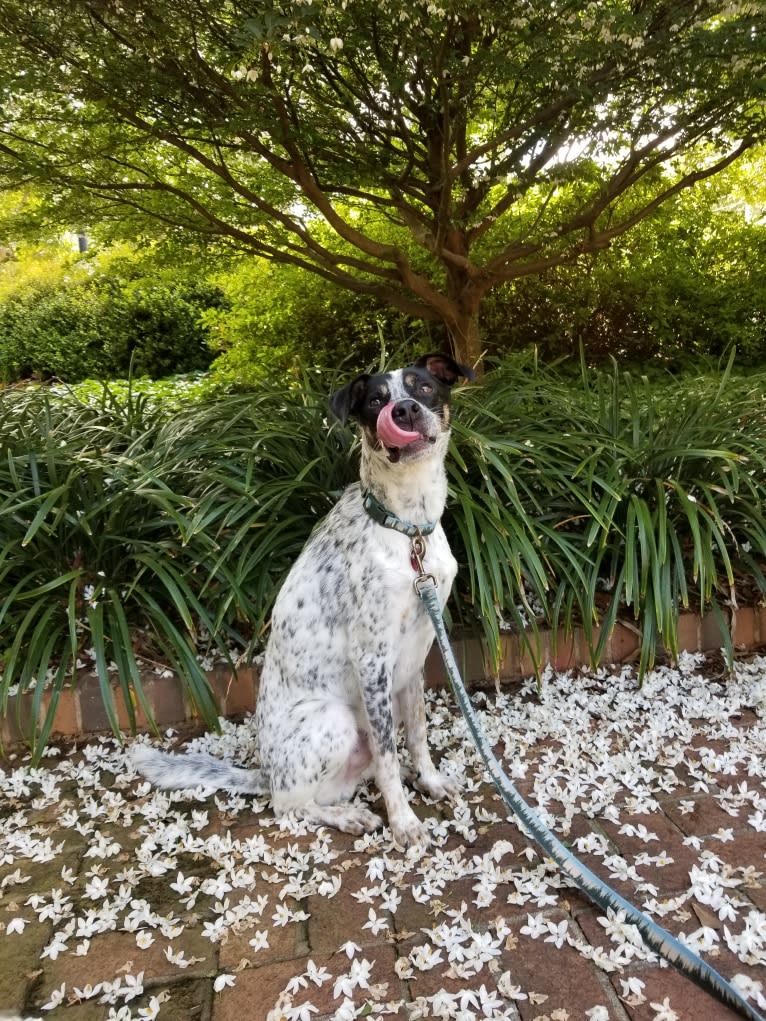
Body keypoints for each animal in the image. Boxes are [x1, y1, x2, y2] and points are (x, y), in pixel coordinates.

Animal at [134, 355, 477, 849]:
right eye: (375, 400)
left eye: (424, 387)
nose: (405, 410)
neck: (407, 528)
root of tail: (266, 774)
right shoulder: (372, 658)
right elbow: (390, 758)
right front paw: (404, 821)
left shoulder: (416, 655)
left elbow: (416, 734)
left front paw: (428, 782)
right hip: (334, 720)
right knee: (288, 806)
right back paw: (350, 817)